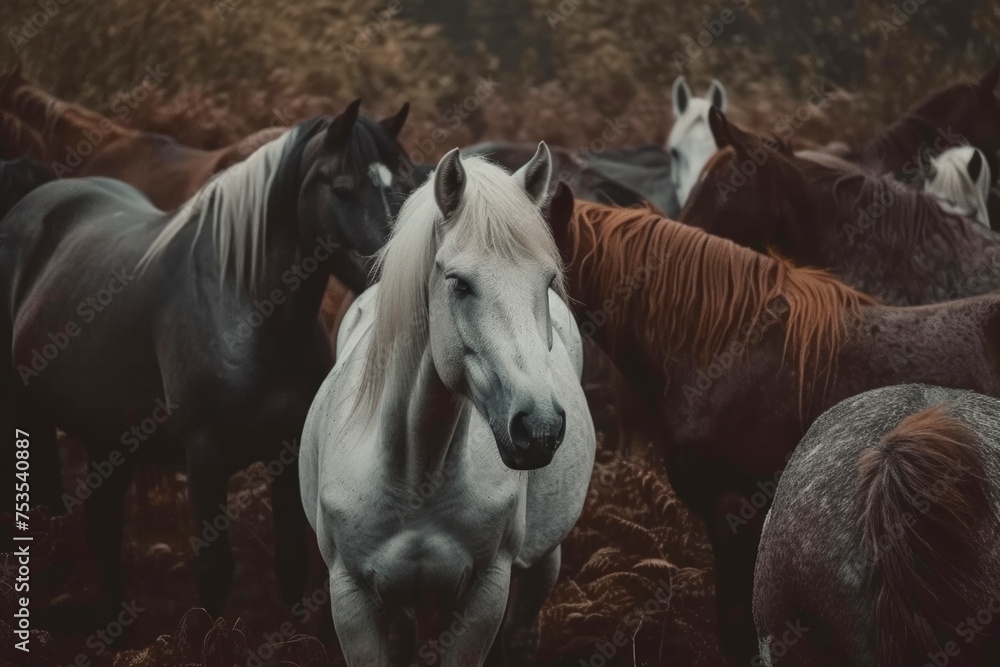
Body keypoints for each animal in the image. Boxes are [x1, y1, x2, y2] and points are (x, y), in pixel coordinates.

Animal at [0, 100, 412, 618]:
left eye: (405, 184)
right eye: (342, 189)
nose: (397, 276)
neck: (244, 306)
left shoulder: (285, 451)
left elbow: (291, 562)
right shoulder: (204, 458)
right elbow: (214, 575)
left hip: (107, 440)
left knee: (103, 531)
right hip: (29, 422)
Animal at [299, 145, 596, 666]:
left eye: (547, 280)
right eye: (459, 283)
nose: (538, 426)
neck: (417, 470)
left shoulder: (486, 594)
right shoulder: (351, 599)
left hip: (543, 558)